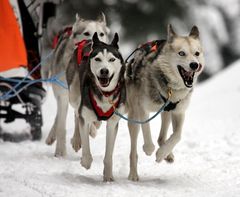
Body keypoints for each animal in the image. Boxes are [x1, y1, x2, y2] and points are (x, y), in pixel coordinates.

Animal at [45, 13, 110, 156]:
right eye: (86, 33)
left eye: (101, 34)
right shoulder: (65, 97)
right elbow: (64, 124)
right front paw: (60, 150)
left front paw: (92, 128)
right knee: (64, 117)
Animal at [65, 32, 125, 182]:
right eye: (98, 59)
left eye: (111, 59)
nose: (104, 71)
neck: (104, 94)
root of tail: (87, 42)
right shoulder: (85, 115)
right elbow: (86, 144)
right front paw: (86, 161)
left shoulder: (113, 123)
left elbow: (109, 153)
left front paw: (108, 175)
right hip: (74, 94)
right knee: (76, 112)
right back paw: (77, 139)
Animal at [125, 25, 204, 182]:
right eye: (182, 53)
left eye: (197, 53)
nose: (194, 64)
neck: (170, 88)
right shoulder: (142, 110)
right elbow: (147, 135)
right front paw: (149, 150)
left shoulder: (179, 112)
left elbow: (177, 135)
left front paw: (162, 153)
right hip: (134, 117)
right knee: (133, 150)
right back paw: (133, 174)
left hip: (165, 114)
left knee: (161, 137)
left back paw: (167, 154)